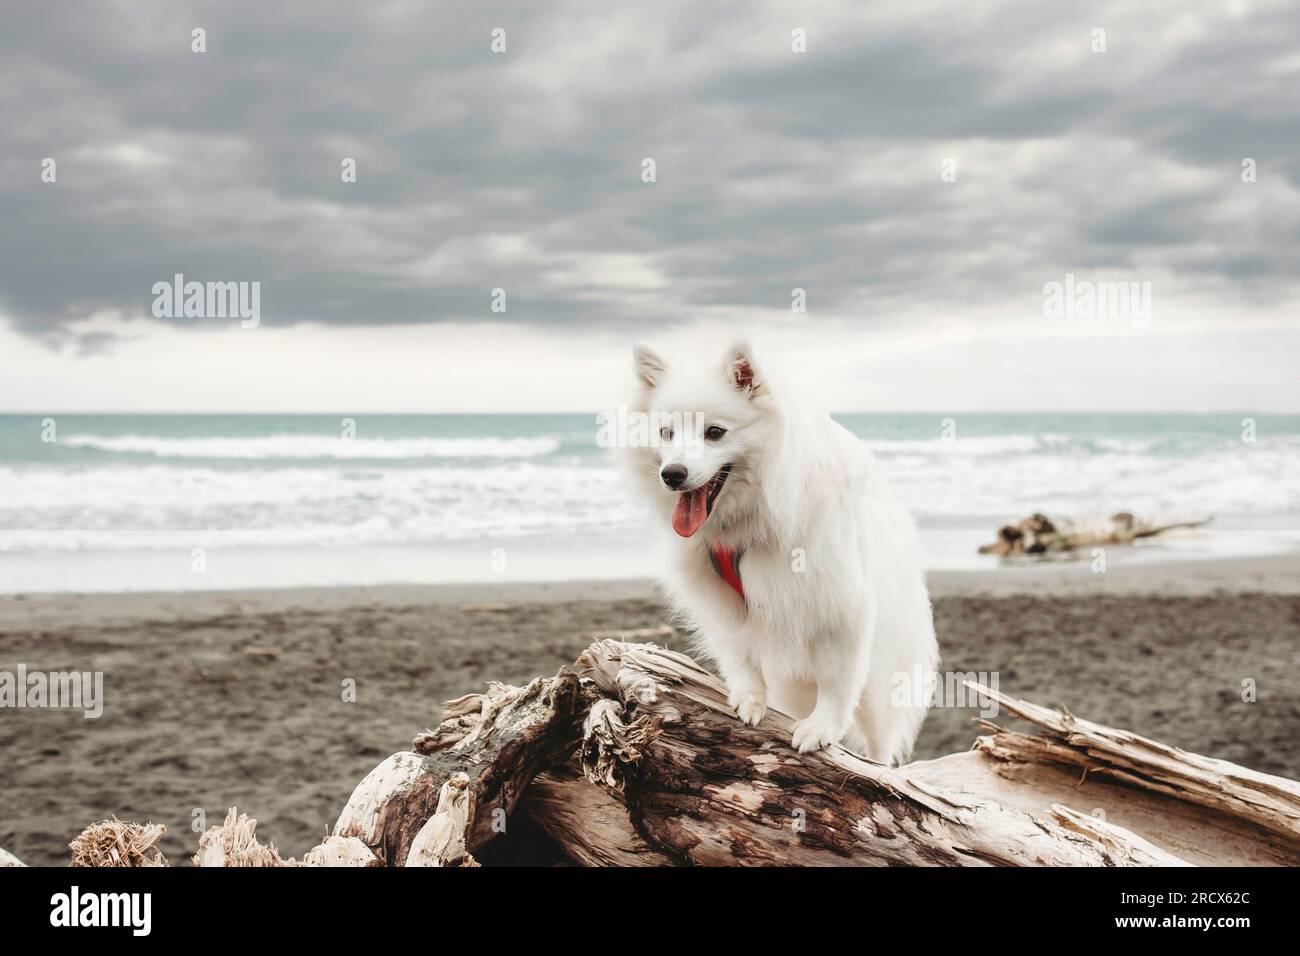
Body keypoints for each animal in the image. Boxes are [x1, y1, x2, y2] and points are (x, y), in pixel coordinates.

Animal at [626, 329, 941, 764]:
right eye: (666, 433)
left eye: (714, 432)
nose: (672, 474)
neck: (752, 517)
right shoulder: (721, 599)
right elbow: (739, 654)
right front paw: (749, 699)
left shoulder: (840, 603)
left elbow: (836, 681)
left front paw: (821, 729)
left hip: (883, 680)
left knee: (880, 739)